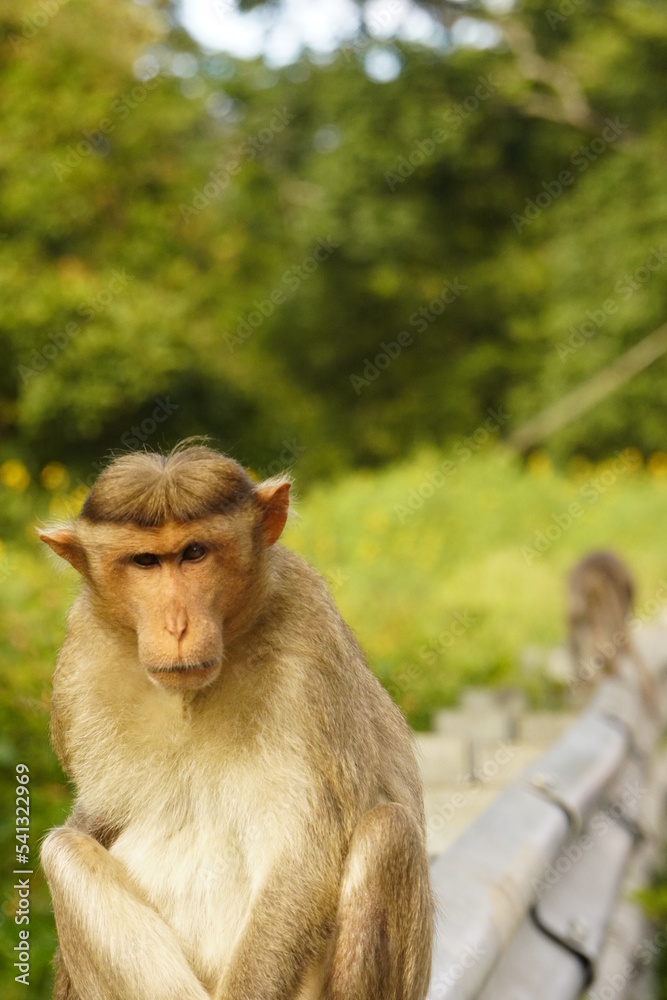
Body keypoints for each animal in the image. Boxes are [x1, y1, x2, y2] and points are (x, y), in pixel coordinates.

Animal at [39, 443, 433, 1000]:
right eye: (144, 561)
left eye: (194, 553)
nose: (176, 626)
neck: (192, 695)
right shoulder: (79, 664)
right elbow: (95, 821)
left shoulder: (309, 646)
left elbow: (303, 849)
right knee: (64, 852)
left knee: (387, 832)